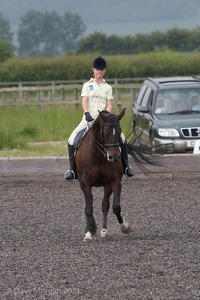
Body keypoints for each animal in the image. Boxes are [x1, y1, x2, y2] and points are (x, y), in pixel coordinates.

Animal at [75, 108, 131, 241]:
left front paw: (124, 227)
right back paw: (91, 228)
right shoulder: (84, 183)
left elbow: (116, 207)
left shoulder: (114, 181)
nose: (114, 157)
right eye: (105, 132)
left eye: (119, 132)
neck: (98, 155)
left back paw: (104, 230)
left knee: (105, 205)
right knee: (91, 204)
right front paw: (88, 233)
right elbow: (88, 208)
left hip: (107, 185)